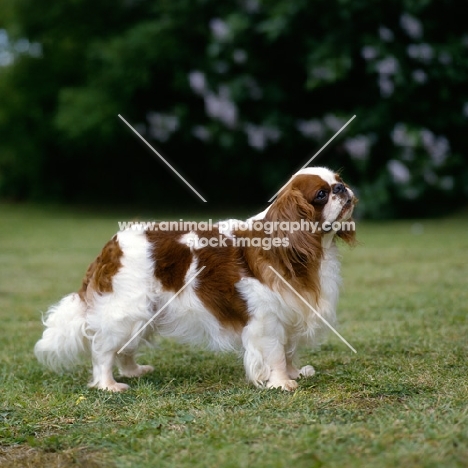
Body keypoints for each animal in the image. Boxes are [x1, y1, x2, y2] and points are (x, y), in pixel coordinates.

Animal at [34, 167, 356, 392]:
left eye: (338, 180)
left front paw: (292, 373)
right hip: (126, 312)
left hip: (145, 314)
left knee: (125, 348)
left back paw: (134, 371)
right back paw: (108, 385)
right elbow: (276, 353)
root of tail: (111, 246)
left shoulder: (289, 313)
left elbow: (289, 351)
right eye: (321, 194)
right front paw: (281, 383)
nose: (342, 188)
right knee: (103, 350)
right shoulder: (267, 319)